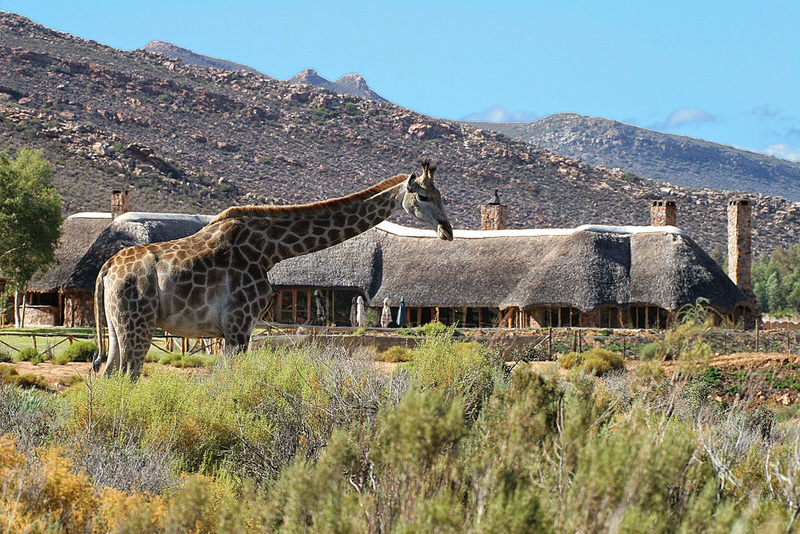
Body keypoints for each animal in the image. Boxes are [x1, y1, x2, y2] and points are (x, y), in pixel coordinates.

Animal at [93, 161, 454, 378]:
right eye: (423, 196)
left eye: (441, 194)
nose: (447, 230)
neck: (272, 250)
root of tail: (105, 270)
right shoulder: (238, 326)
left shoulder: (239, 330)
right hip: (137, 324)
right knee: (128, 375)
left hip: (116, 326)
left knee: (108, 372)